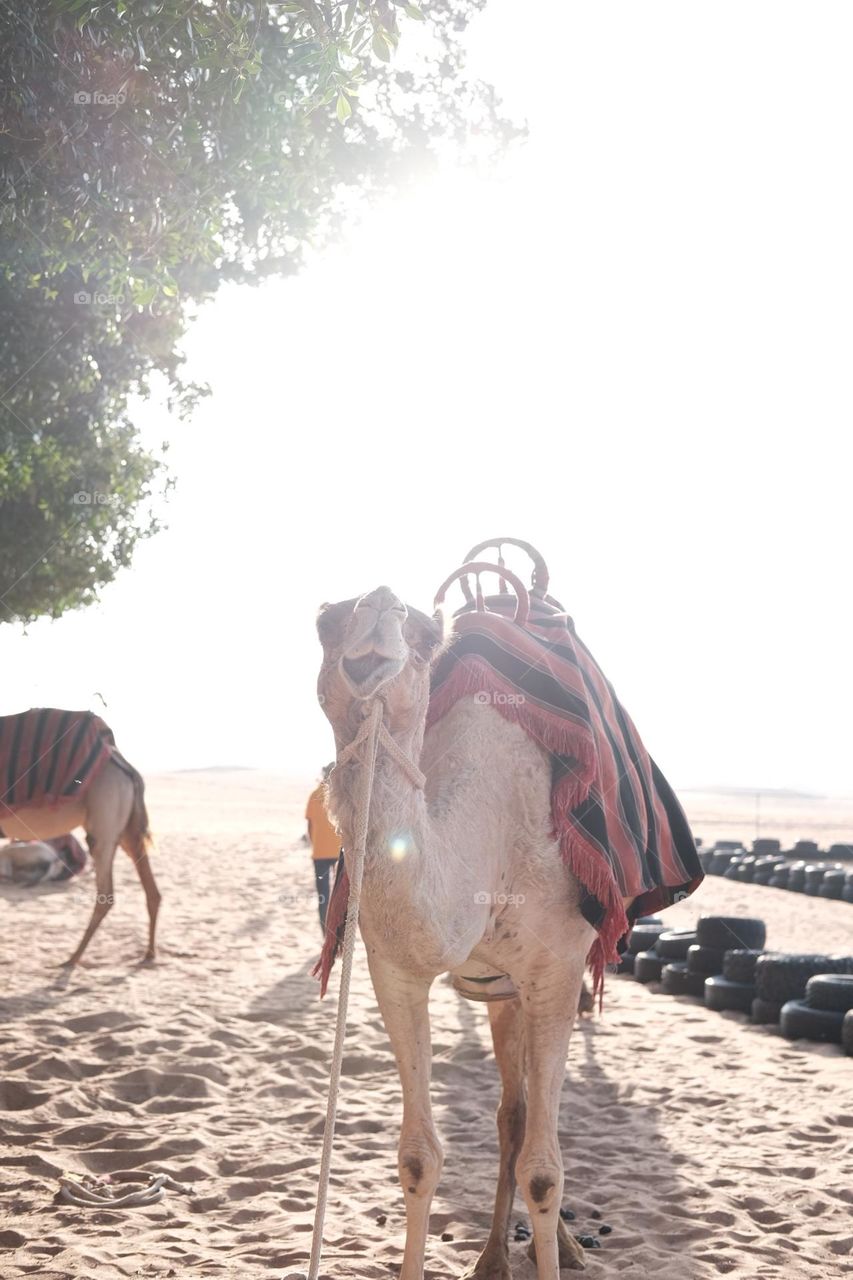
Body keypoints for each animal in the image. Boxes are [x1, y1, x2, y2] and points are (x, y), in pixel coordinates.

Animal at [0, 715, 159, 966]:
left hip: (104, 820)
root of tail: (125, 765)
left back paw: (72, 958)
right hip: (127, 831)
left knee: (106, 894)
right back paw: (149, 953)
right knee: (151, 890)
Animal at [317, 585, 603, 1279]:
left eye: (424, 636)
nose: (380, 607)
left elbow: (544, 1172)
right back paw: (493, 1256)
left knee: (538, 1126)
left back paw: (567, 1247)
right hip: (501, 991)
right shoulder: (394, 970)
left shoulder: (556, 970)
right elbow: (418, 1157)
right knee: (513, 1114)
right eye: (325, 622)